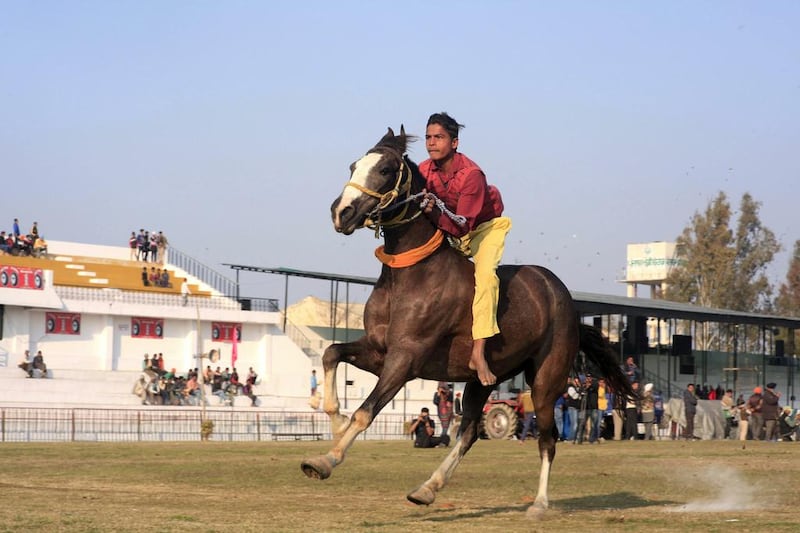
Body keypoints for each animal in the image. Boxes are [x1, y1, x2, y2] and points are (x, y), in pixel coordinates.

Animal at [300, 125, 632, 516]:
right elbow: (331, 353)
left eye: (384, 169)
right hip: (483, 379)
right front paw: (334, 418)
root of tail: (565, 300)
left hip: (546, 381)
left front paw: (325, 460)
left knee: (547, 438)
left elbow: (366, 412)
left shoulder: (405, 358)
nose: (342, 212)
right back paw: (427, 488)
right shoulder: (379, 350)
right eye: (354, 165)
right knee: (471, 431)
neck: (410, 274)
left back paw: (538, 503)